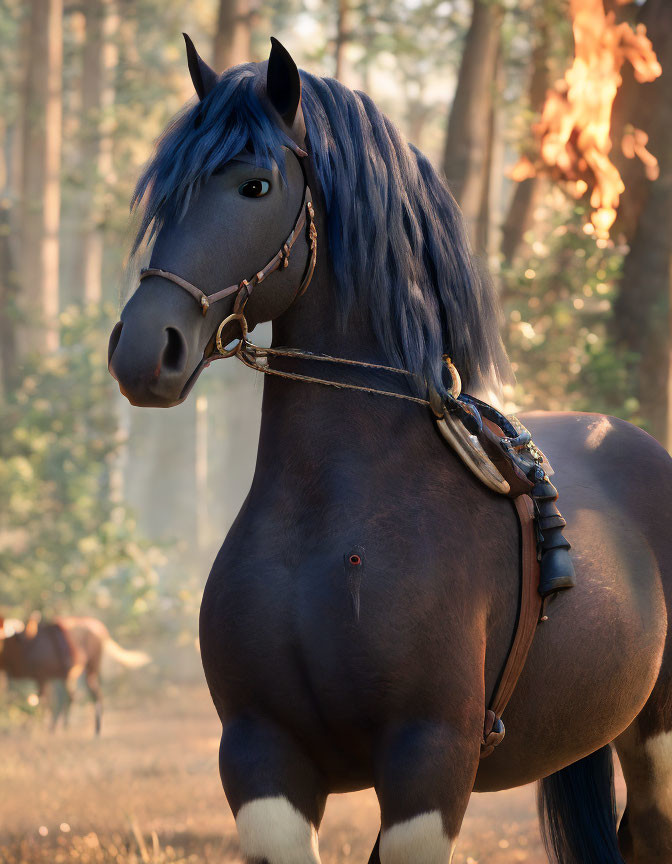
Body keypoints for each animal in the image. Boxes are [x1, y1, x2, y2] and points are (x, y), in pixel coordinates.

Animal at [0, 612, 148, 732]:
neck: (26, 647)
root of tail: (100, 628)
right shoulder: (52, 678)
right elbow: (53, 701)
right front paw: (48, 726)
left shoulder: (42, 677)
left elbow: (45, 701)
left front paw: (38, 726)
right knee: (80, 696)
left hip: (91, 667)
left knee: (94, 694)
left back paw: (95, 728)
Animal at [105, 35, 672, 864]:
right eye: (166, 196)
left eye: (256, 185)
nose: (146, 350)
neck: (330, 519)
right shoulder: (259, 756)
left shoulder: (428, 762)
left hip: (659, 739)